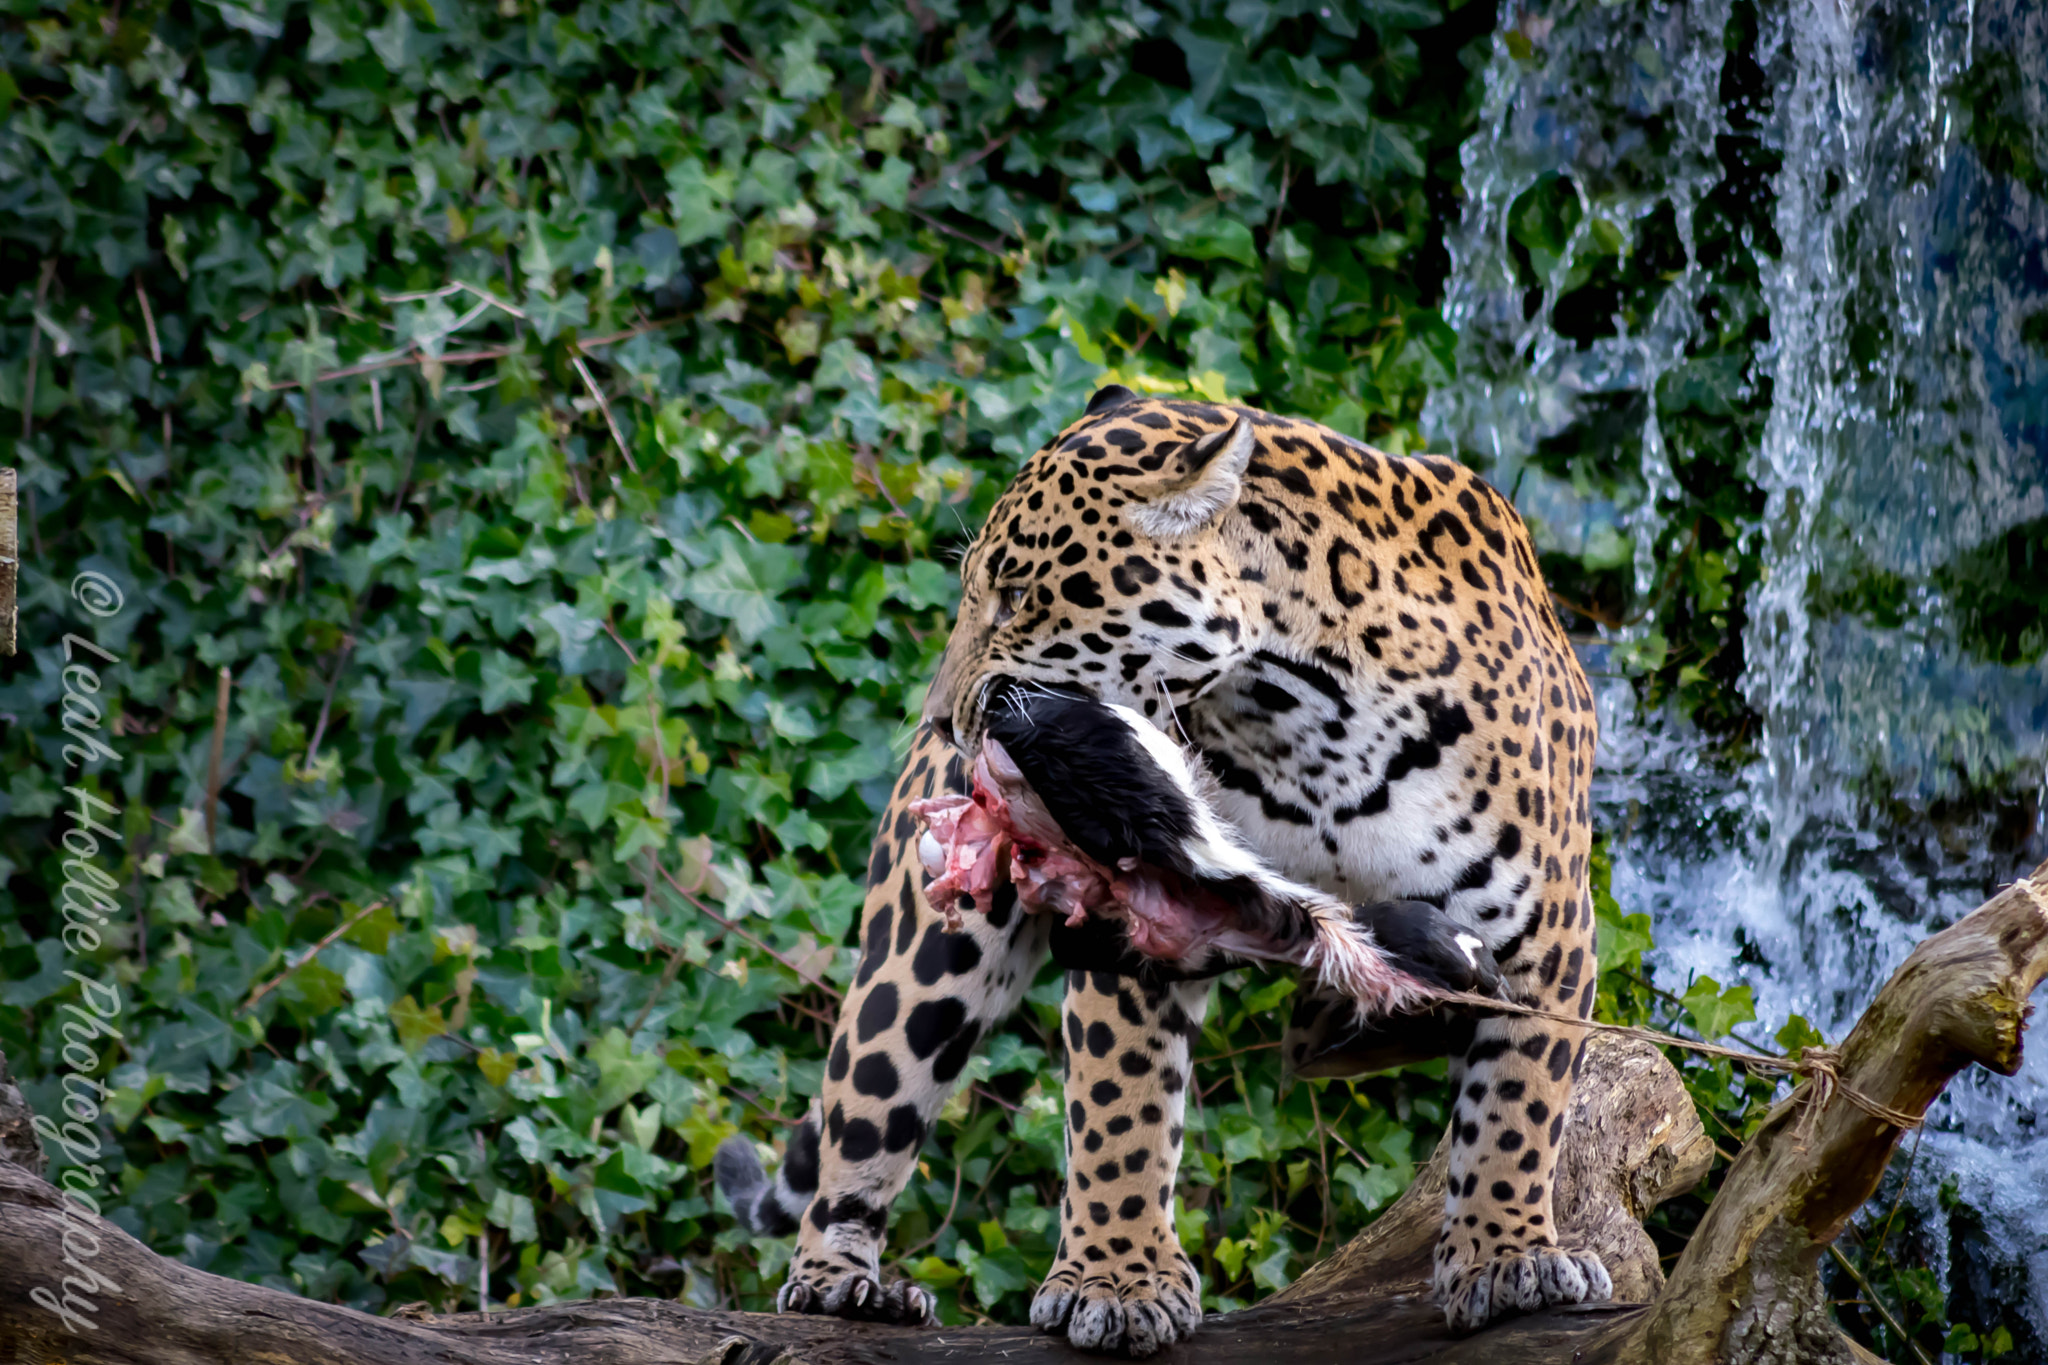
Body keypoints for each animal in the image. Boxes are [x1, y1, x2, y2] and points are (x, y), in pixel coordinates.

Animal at [715, 386, 1608, 1353]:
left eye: (1018, 594)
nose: (942, 721)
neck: (1309, 718)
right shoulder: (1139, 913)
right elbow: (1122, 1110)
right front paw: (1118, 1279)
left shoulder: (1547, 926)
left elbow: (1518, 1102)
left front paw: (1508, 1254)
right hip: (921, 972)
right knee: (862, 1121)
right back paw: (841, 1286)